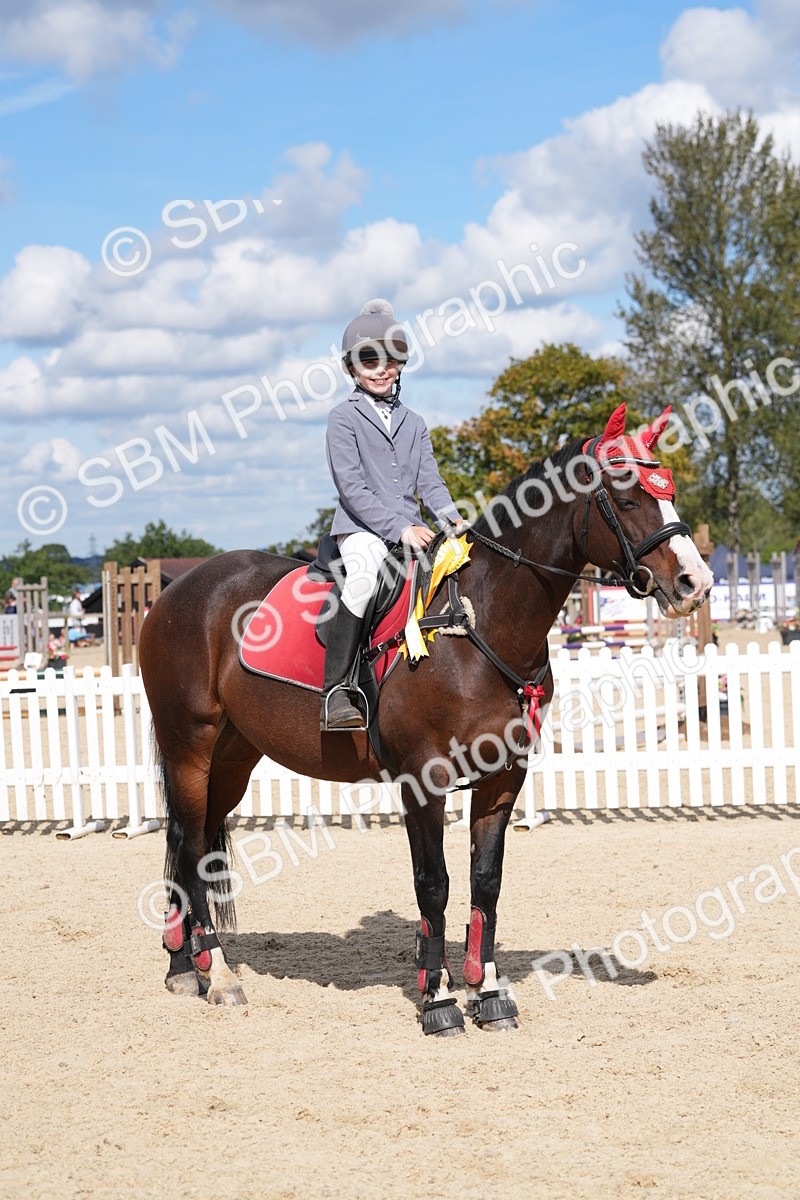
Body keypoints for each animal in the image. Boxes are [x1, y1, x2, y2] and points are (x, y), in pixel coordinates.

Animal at [139, 403, 713, 1034]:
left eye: (670, 490)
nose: (697, 583)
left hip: (233, 756)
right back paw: (218, 975)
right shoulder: (423, 779)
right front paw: (438, 1000)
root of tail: (178, 589)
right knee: (191, 845)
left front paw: (488, 992)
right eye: (628, 497)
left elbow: (485, 882)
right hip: (189, 746)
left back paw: (182, 967)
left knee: (190, 841)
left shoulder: (502, 778)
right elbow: (433, 884)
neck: (480, 621)